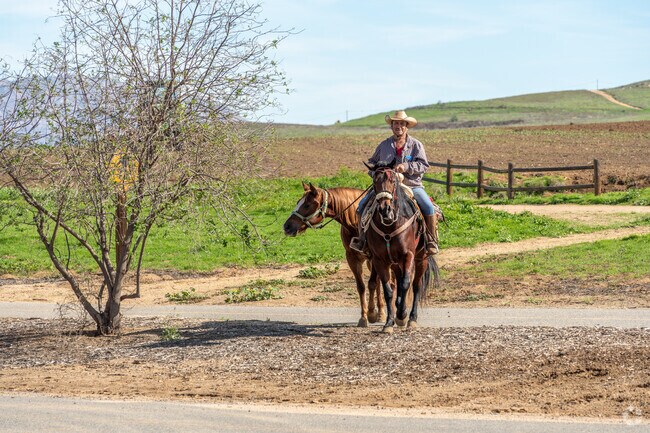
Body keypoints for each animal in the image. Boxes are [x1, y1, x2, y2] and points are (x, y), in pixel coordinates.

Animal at [283, 182, 387, 327]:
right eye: (298, 202)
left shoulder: (374, 257)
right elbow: (361, 287)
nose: (287, 226)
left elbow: (373, 283)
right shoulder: (352, 258)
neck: (355, 222)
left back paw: (384, 313)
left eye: (307, 205)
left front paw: (372, 314)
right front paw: (363, 317)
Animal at [364, 161, 439, 333]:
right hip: (395, 263)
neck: (390, 226)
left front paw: (402, 315)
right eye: (375, 182)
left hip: (421, 259)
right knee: (397, 281)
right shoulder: (380, 260)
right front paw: (389, 322)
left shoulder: (408, 255)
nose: (385, 209)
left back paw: (411, 318)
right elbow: (388, 290)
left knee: (416, 286)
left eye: (393, 181)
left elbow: (405, 284)